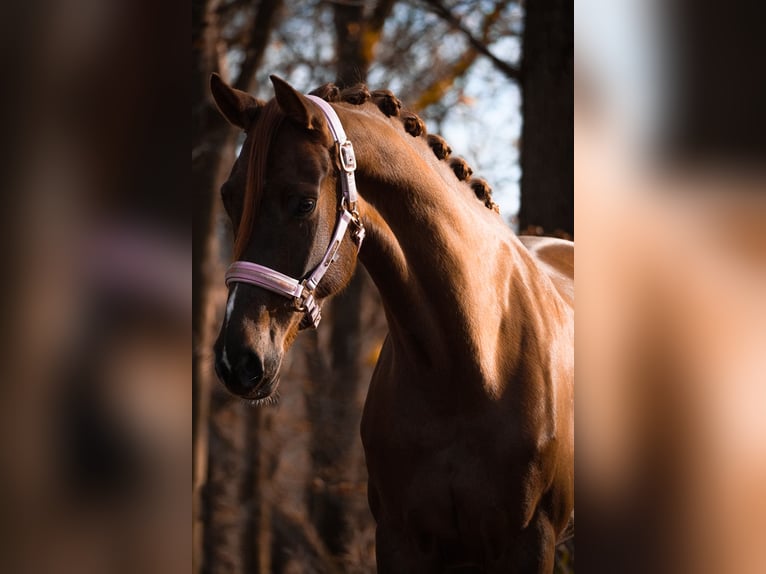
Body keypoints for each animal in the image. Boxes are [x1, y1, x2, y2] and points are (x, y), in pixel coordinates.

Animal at [210, 73, 574, 573]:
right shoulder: (401, 538)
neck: (468, 366)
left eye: (303, 203)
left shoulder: (529, 542)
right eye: (229, 198)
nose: (237, 359)